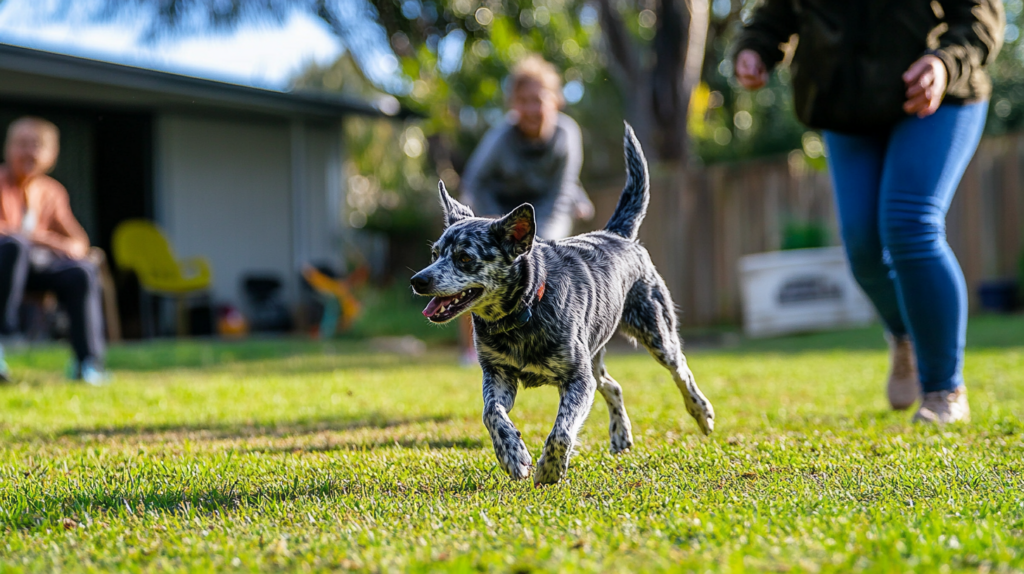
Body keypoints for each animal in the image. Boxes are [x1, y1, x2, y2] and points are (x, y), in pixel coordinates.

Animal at [407, 125, 712, 482]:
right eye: (434, 254)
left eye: (465, 257)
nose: (418, 280)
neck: (524, 312)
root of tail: (617, 234)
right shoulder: (498, 374)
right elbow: (491, 413)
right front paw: (512, 454)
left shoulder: (578, 380)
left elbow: (563, 430)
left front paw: (550, 468)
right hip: (596, 358)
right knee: (613, 386)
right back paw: (621, 435)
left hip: (657, 334)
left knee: (682, 371)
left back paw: (702, 412)